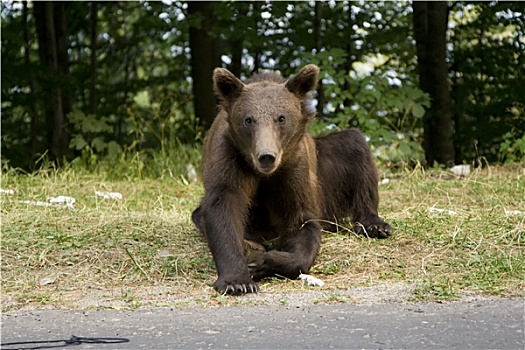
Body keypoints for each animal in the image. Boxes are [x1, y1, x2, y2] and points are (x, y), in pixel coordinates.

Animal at [190, 64, 390, 294]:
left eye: (281, 118)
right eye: (248, 120)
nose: (266, 156)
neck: (264, 174)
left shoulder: (294, 169)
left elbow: (301, 220)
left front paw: (264, 262)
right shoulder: (229, 158)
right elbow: (223, 208)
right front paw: (237, 280)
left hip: (326, 174)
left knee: (354, 143)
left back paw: (374, 225)